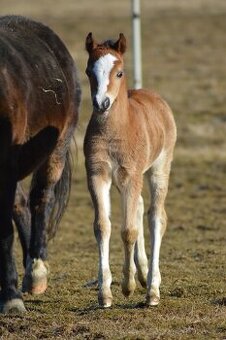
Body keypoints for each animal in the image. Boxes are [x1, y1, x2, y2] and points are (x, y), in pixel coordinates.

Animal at [84, 32, 177, 308]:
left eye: (119, 73)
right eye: (89, 71)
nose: (101, 103)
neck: (115, 131)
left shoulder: (130, 175)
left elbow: (128, 230)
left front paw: (127, 286)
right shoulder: (98, 175)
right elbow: (102, 226)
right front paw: (105, 293)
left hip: (159, 168)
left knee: (155, 216)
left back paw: (152, 290)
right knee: (139, 206)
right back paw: (144, 274)